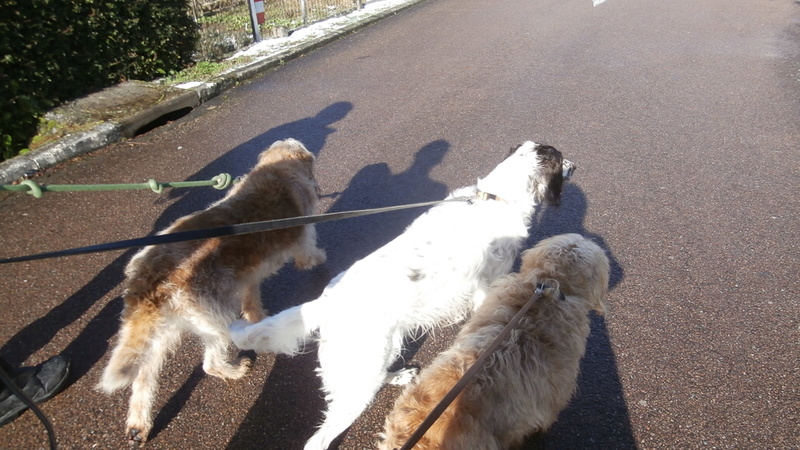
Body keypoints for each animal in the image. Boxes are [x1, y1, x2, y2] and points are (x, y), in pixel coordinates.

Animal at [97, 138, 324, 446]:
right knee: (210, 364)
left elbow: (251, 298)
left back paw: (138, 425)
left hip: (164, 332)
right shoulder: (304, 240)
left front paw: (257, 315)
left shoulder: (247, 277)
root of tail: (148, 276)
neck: (276, 170)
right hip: (215, 319)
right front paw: (321, 260)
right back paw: (235, 369)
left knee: (144, 377)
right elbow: (309, 256)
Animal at [231, 141, 576, 450]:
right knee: (319, 440)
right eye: (561, 158)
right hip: (361, 372)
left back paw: (399, 376)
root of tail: (324, 303)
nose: (576, 165)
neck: (496, 198)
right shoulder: (486, 286)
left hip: (380, 352)